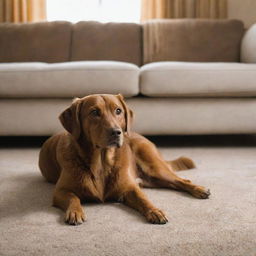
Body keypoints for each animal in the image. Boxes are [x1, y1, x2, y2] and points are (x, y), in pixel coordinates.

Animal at [38, 93, 210, 224]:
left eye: (118, 110)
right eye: (94, 112)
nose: (116, 132)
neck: (101, 163)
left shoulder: (130, 188)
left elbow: (143, 199)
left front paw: (154, 210)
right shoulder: (60, 191)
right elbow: (73, 197)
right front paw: (75, 212)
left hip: (154, 167)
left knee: (182, 180)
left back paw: (199, 189)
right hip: (152, 179)